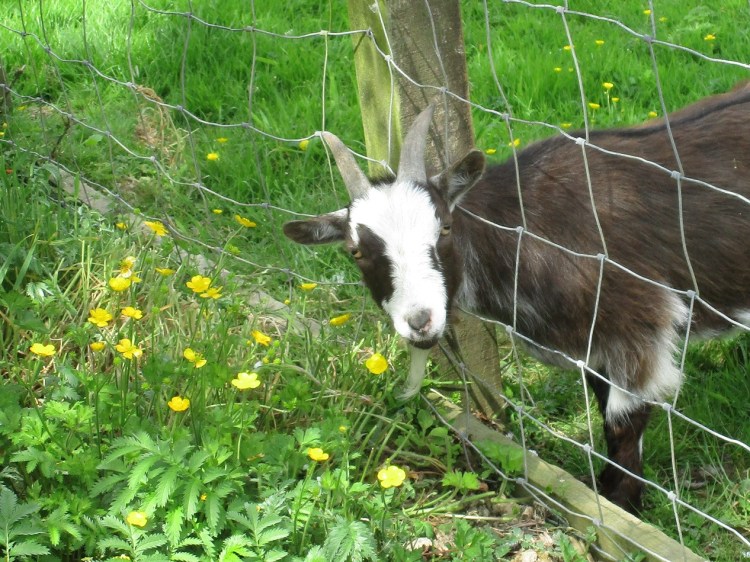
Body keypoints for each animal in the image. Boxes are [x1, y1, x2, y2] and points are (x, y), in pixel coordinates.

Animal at [283, 83, 750, 512]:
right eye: (356, 251)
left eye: (446, 228)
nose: (421, 322)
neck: (530, 228)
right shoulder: (596, 343)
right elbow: (603, 408)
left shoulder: (637, 324)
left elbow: (622, 422)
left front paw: (621, 506)